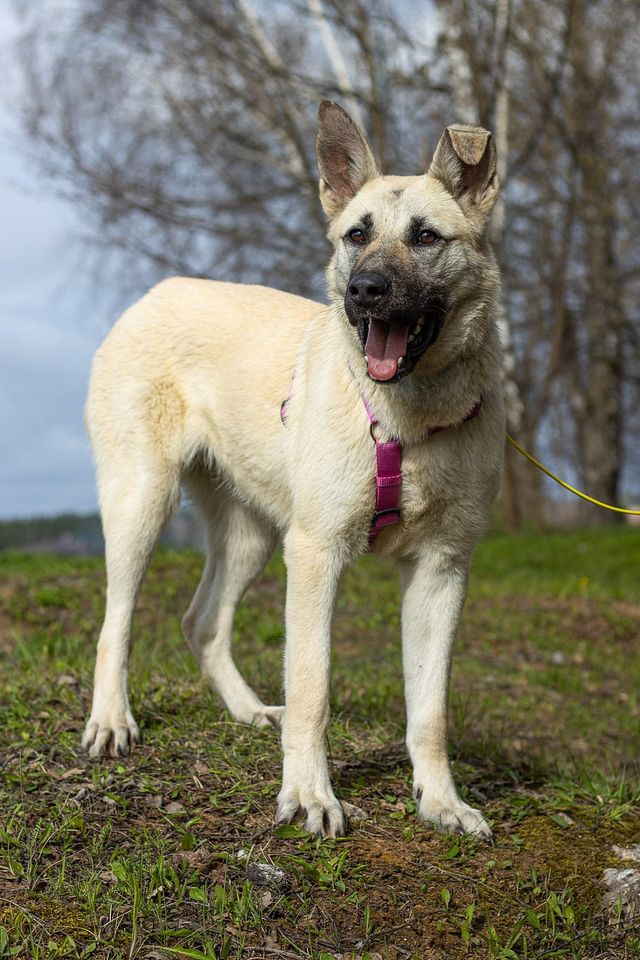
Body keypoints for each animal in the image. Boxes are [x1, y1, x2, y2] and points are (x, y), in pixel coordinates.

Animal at [82, 101, 504, 840]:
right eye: (356, 235)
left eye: (426, 237)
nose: (365, 291)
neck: (408, 420)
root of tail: (155, 294)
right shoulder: (315, 555)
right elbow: (312, 688)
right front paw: (310, 796)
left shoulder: (442, 570)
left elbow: (429, 711)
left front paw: (442, 802)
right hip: (142, 501)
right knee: (117, 623)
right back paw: (112, 720)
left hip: (251, 535)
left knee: (202, 622)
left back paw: (250, 711)